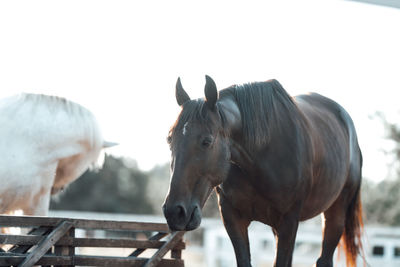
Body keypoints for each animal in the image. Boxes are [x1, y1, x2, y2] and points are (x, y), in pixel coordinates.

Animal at [162, 76, 362, 267]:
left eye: (207, 141)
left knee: (324, 260)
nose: (175, 212)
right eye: (169, 139)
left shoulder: (289, 221)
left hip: (335, 213)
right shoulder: (233, 218)